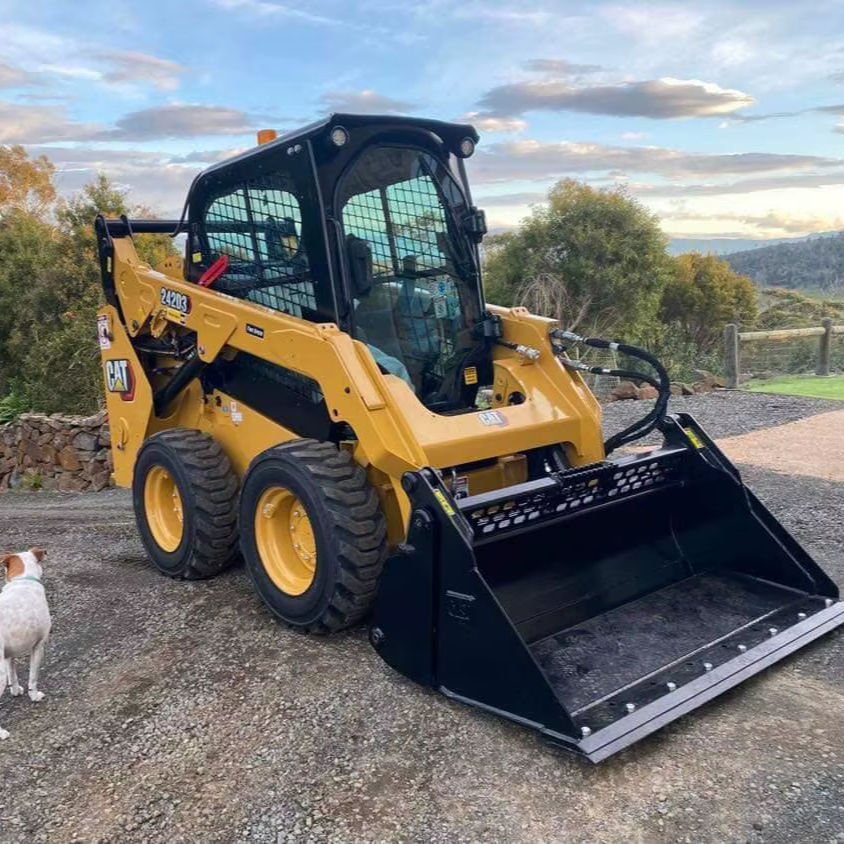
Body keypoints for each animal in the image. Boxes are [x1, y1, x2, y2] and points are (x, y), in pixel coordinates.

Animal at [0, 548, 51, 740]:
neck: (23, 579)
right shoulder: (38, 646)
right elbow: (33, 677)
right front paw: (34, 696)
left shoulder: (9, 654)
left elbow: (13, 674)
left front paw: (15, 690)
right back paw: (2, 733)